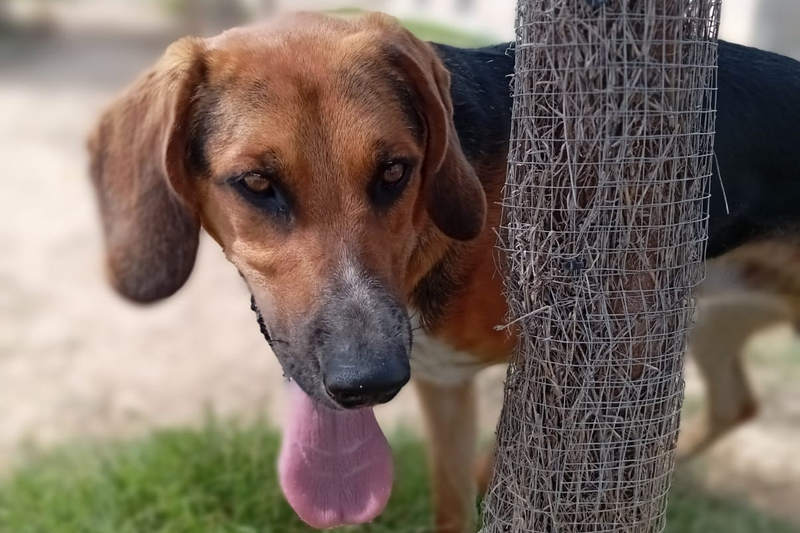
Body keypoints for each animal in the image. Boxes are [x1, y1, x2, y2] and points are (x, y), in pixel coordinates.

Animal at [87, 11, 800, 533]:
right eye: (257, 183)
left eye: (395, 170)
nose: (370, 382)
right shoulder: (443, 383)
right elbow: (452, 500)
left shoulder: (602, 357)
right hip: (711, 317)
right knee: (734, 403)